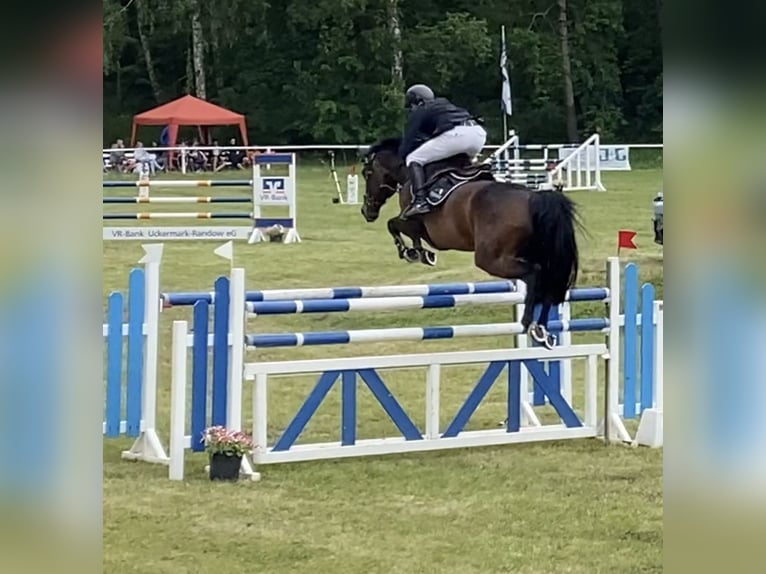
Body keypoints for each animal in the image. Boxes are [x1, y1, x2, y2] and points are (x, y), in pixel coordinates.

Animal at [360, 137, 584, 352]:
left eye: (367, 173)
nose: (367, 211)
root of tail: (534, 198)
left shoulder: (418, 225)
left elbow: (393, 224)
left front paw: (410, 252)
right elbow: (402, 229)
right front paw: (421, 253)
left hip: (490, 259)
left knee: (535, 273)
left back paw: (528, 322)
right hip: (538, 253)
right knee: (549, 281)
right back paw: (541, 329)